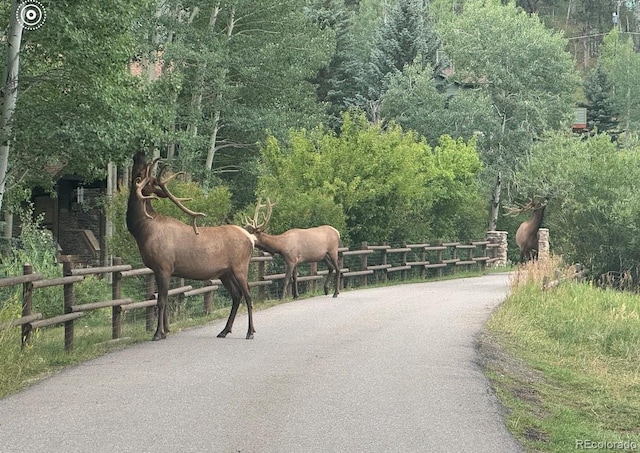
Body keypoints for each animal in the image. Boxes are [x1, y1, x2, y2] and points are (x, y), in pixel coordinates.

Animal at [125, 153, 258, 340]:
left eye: (141, 174)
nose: (139, 154)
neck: (143, 231)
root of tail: (251, 238)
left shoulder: (163, 266)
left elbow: (161, 301)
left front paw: (158, 333)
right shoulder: (161, 269)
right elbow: (165, 299)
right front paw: (165, 331)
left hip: (240, 266)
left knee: (248, 295)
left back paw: (250, 332)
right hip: (225, 272)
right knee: (236, 295)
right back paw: (224, 330)